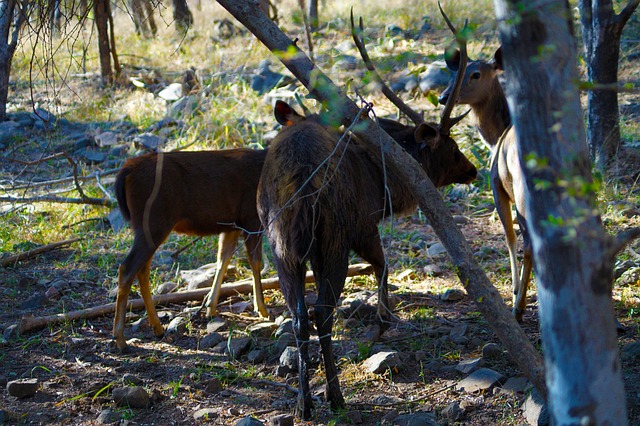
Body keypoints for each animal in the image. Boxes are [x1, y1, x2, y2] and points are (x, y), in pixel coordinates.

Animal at [112, 148, 268, 352]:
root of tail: (125, 172)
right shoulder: (251, 217)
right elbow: (255, 262)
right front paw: (262, 309)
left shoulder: (231, 225)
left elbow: (222, 259)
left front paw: (211, 307)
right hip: (154, 220)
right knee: (127, 268)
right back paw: (121, 339)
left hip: (149, 225)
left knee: (142, 268)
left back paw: (157, 327)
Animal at [256, 16, 476, 412]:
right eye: (452, 148)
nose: (473, 169)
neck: (384, 186)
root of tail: (301, 186)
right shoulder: (364, 224)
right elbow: (382, 264)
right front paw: (383, 322)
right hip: (333, 236)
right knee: (322, 312)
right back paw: (335, 395)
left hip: (280, 244)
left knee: (298, 316)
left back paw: (303, 403)